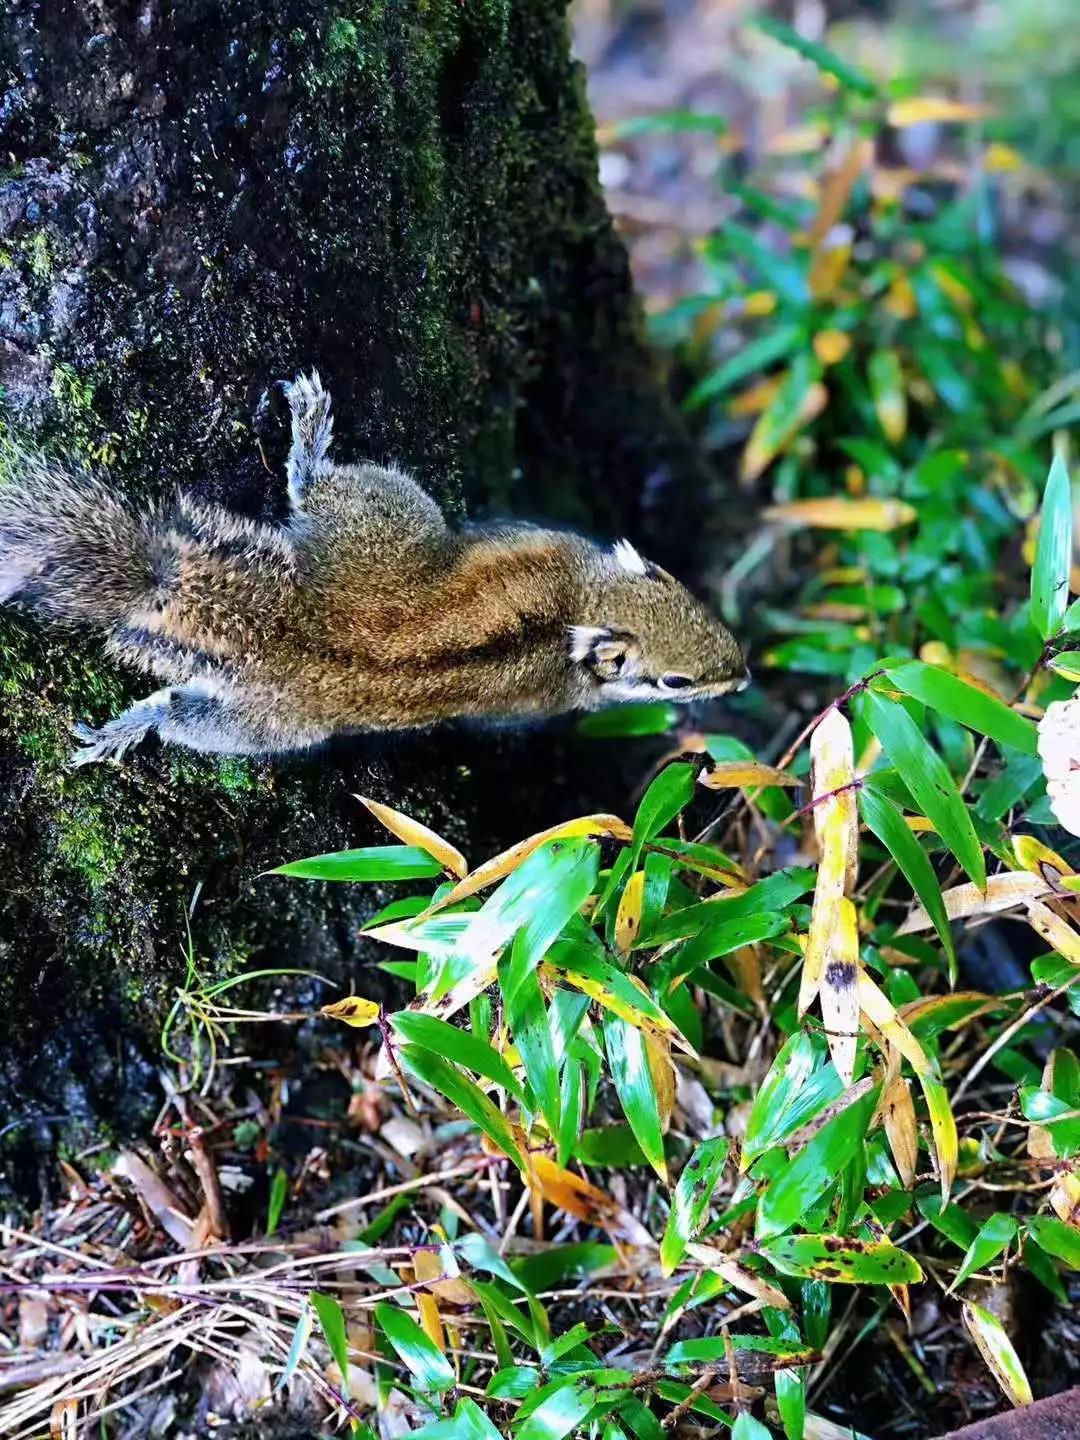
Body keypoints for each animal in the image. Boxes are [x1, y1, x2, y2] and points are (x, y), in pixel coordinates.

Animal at [0, 371, 748, 766]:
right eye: (675, 681)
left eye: (696, 603)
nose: (740, 679)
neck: (584, 601)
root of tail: (289, 621)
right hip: (276, 703)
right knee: (181, 716)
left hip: (362, 527)